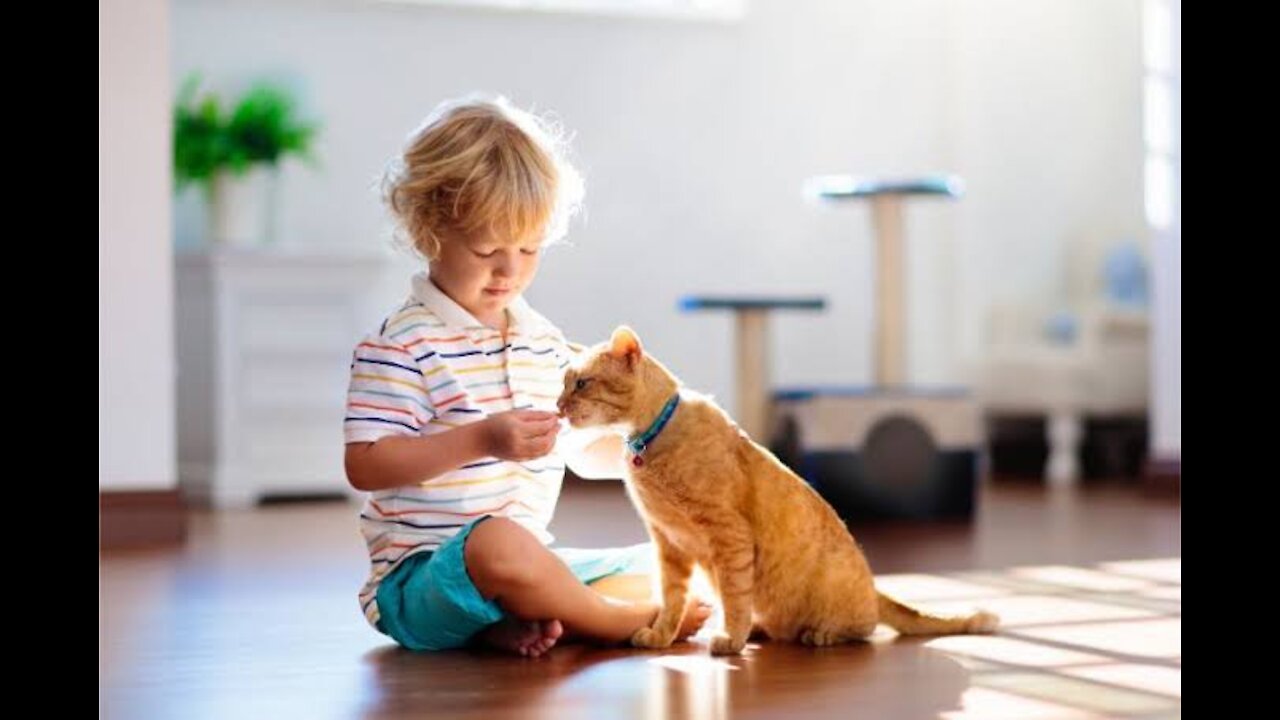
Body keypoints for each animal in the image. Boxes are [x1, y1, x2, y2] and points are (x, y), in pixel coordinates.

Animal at [560, 327, 998, 653]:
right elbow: (671, 600)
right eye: (564, 384)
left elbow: (735, 596)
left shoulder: (729, 538)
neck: (649, 440)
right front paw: (662, 636)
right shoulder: (669, 545)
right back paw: (759, 629)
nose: (559, 406)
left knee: (863, 629)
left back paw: (817, 634)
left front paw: (730, 639)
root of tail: (876, 588)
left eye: (581, 383)